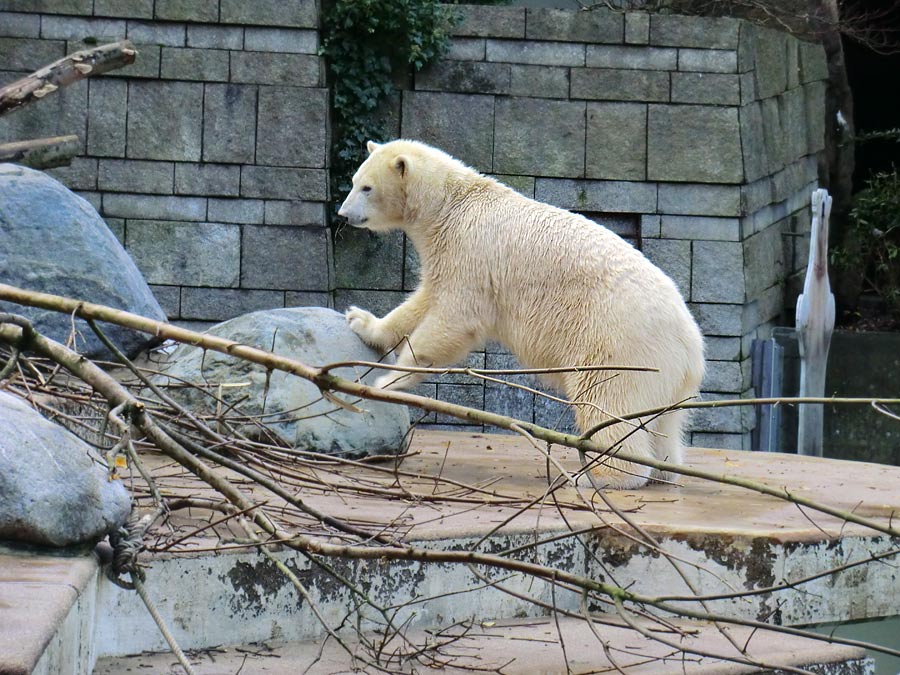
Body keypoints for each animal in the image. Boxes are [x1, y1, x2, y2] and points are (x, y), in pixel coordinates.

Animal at [338, 140, 704, 488]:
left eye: (366, 187)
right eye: (354, 181)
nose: (342, 214)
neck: (450, 206)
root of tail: (691, 345)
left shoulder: (470, 252)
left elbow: (455, 318)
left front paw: (387, 381)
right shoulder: (448, 254)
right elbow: (424, 299)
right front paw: (361, 321)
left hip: (618, 342)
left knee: (607, 401)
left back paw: (596, 475)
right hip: (666, 374)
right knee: (664, 422)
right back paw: (662, 469)